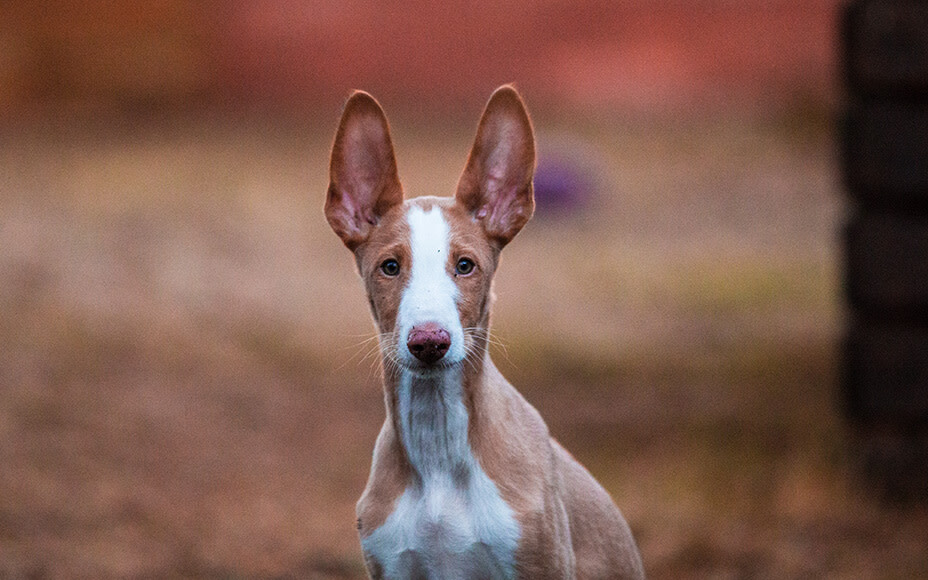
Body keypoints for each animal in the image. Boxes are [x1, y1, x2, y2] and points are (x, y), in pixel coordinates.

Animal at [326, 84, 644, 576]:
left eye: (465, 265)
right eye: (390, 267)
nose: (429, 343)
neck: (437, 441)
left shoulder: (540, 563)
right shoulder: (393, 564)